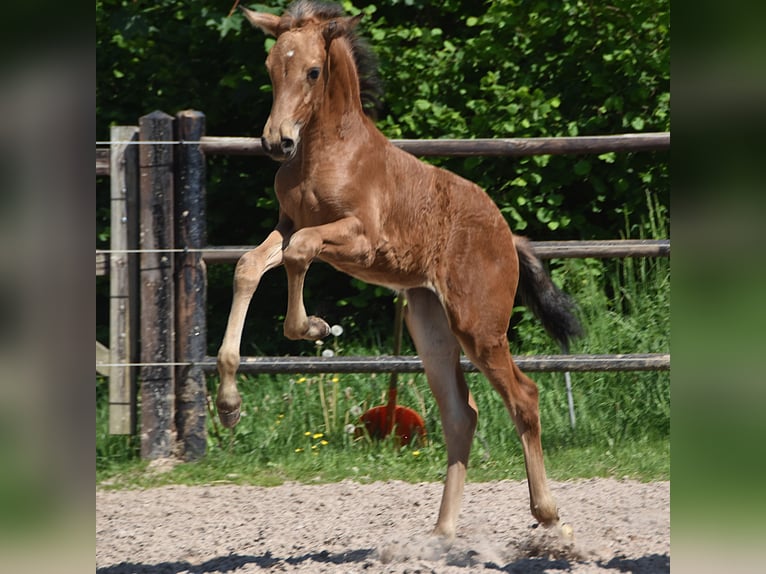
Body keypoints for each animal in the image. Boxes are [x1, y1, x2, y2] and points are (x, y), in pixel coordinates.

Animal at [216, 0, 582, 540]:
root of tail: (507, 237)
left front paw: (313, 327)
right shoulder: (286, 225)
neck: (327, 152)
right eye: (270, 68)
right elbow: (247, 266)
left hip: (480, 326)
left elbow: (303, 251)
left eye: (313, 71)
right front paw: (228, 405)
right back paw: (442, 534)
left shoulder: (362, 240)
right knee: (461, 415)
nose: (276, 142)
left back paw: (550, 516)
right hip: (429, 326)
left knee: (524, 397)